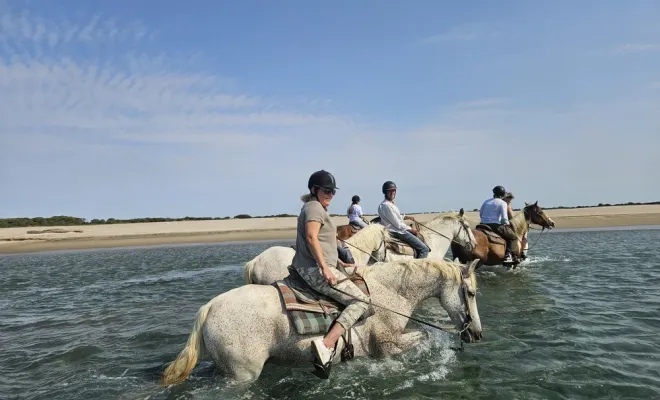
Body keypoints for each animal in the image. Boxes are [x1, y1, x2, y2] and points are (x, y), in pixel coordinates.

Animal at [161, 258, 482, 385]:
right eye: (471, 292)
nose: (477, 334)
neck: (388, 292)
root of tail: (210, 307)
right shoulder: (388, 346)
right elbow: (425, 336)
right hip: (242, 375)